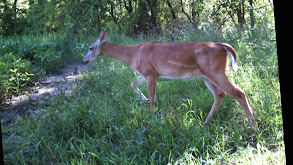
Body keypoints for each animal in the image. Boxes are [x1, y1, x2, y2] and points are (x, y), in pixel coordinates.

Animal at [82, 30, 258, 130]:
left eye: (90, 48)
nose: (84, 61)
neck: (132, 54)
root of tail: (223, 46)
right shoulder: (147, 72)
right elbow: (132, 84)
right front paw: (144, 101)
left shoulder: (150, 74)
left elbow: (153, 99)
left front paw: (151, 120)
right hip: (206, 75)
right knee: (220, 94)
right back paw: (205, 123)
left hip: (215, 71)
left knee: (238, 93)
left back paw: (254, 127)